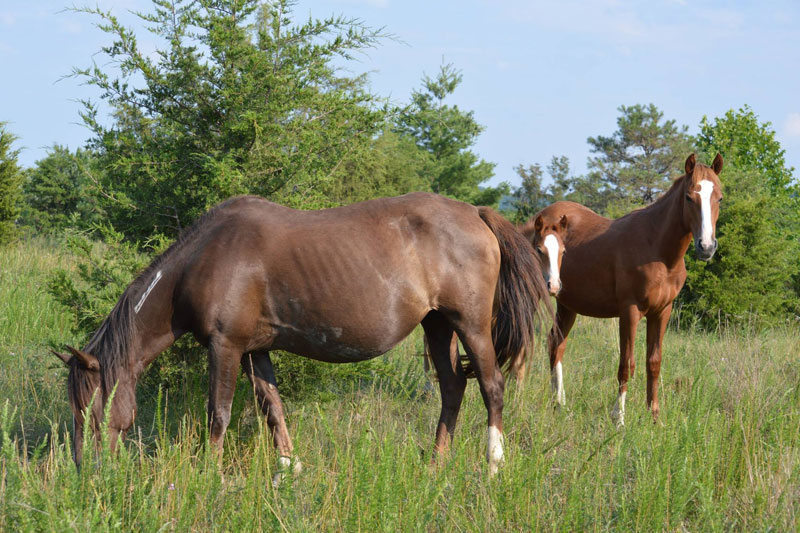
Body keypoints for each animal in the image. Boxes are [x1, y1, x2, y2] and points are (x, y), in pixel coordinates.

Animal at [50, 191, 552, 474]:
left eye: (91, 409)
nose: (84, 471)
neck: (203, 259)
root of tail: (476, 213)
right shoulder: (254, 349)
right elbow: (272, 408)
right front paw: (288, 470)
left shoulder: (225, 346)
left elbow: (219, 414)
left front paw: (208, 475)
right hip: (437, 324)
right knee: (452, 388)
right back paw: (436, 464)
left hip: (471, 325)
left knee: (491, 386)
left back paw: (492, 464)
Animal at [520, 154, 720, 424]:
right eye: (690, 197)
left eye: (719, 198)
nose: (706, 247)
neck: (657, 249)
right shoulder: (630, 312)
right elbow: (627, 364)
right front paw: (619, 418)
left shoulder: (662, 312)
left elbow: (653, 362)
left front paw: (655, 417)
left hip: (567, 304)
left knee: (556, 343)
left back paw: (559, 404)